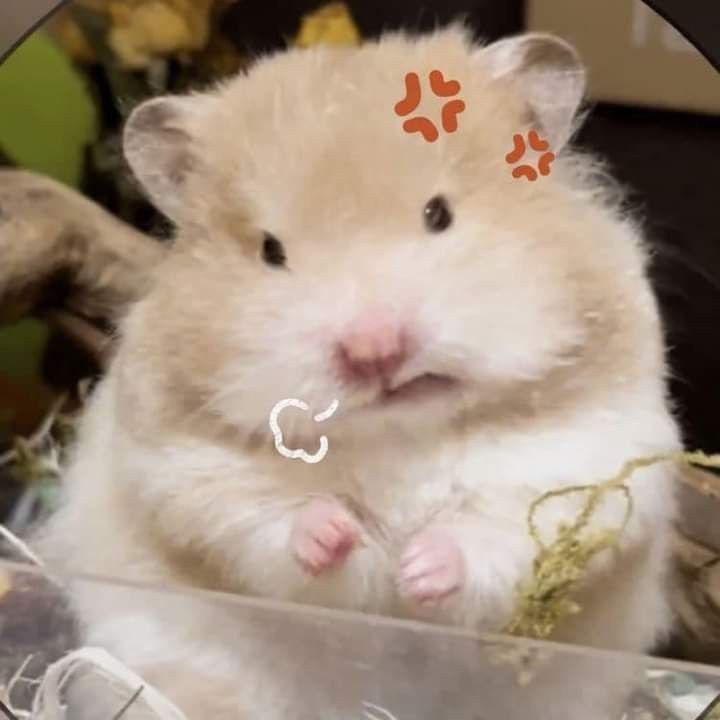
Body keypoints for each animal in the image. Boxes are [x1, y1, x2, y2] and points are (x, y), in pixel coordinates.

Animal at [37, 25, 681, 720]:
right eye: (271, 251)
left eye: (439, 214)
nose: (374, 351)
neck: (399, 432)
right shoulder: (184, 465)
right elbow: (267, 518)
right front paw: (339, 535)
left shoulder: (585, 457)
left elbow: (500, 529)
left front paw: (417, 568)